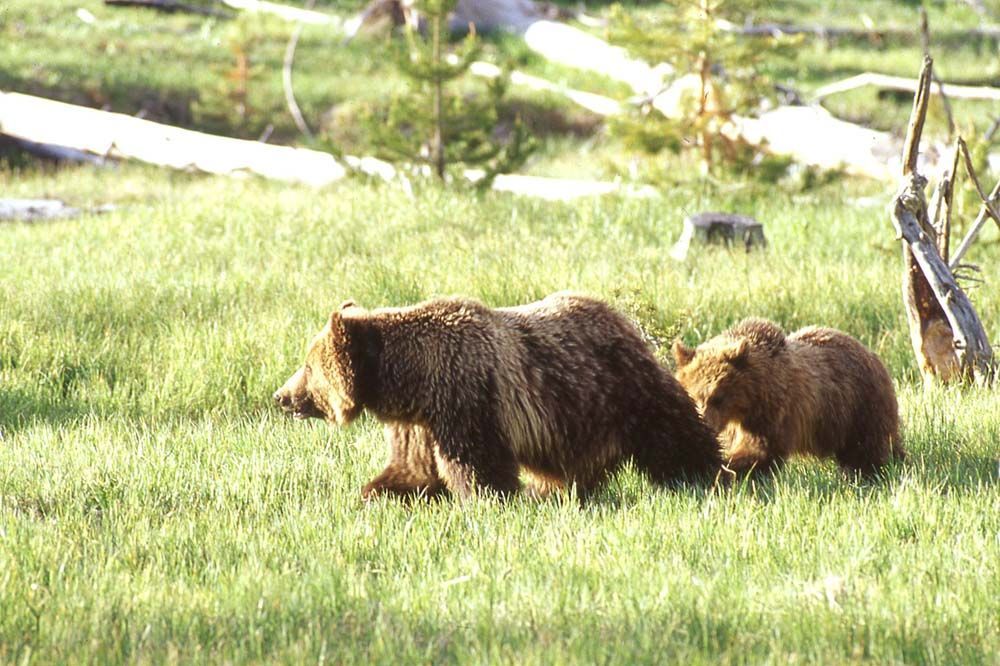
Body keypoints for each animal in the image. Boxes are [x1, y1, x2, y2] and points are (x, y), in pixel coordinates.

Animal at [274, 292, 722, 500]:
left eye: (308, 367)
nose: (281, 395)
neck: (412, 381)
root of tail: (622, 318)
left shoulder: (466, 397)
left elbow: (477, 466)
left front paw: (488, 500)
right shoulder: (417, 423)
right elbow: (411, 470)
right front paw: (376, 494)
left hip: (618, 387)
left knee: (671, 430)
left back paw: (707, 473)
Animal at [671, 318, 904, 476]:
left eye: (717, 397)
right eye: (694, 396)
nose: (706, 425)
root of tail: (873, 355)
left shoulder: (772, 414)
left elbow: (759, 450)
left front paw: (728, 466)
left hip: (859, 407)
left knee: (867, 449)